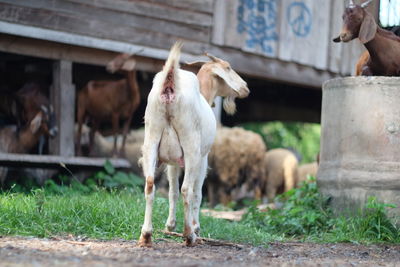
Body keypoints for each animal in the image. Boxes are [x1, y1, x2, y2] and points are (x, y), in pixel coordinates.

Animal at [139, 42, 248, 249]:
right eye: (228, 67)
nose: (245, 88)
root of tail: (170, 85)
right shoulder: (203, 158)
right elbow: (197, 192)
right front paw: (196, 227)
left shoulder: (172, 162)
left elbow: (172, 191)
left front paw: (169, 225)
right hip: (191, 146)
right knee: (187, 189)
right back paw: (189, 234)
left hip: (151, 139)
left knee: (150, 185)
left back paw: (146, 235)